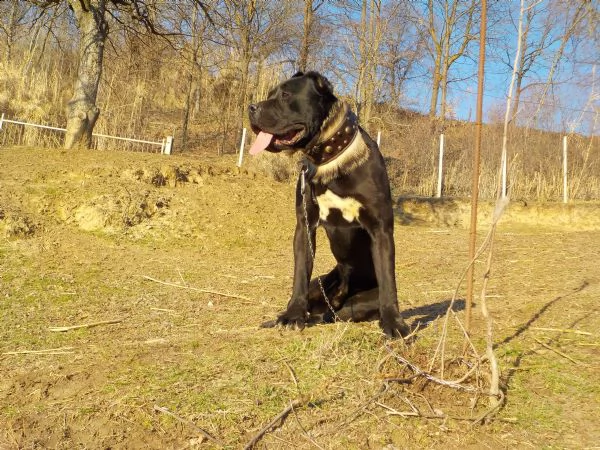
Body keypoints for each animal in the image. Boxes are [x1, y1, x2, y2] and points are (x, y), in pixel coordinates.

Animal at [247, 71, 408, 338]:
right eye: (270, 94)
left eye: (285, 94)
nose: (251, 107)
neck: (328, 157)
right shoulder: (305, 226)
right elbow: (300, 275)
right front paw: (293, 315)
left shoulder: (381, 229)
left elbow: (389, 280)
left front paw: (394, 322)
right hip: (320, 284)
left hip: (355, 306)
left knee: (335, 315)